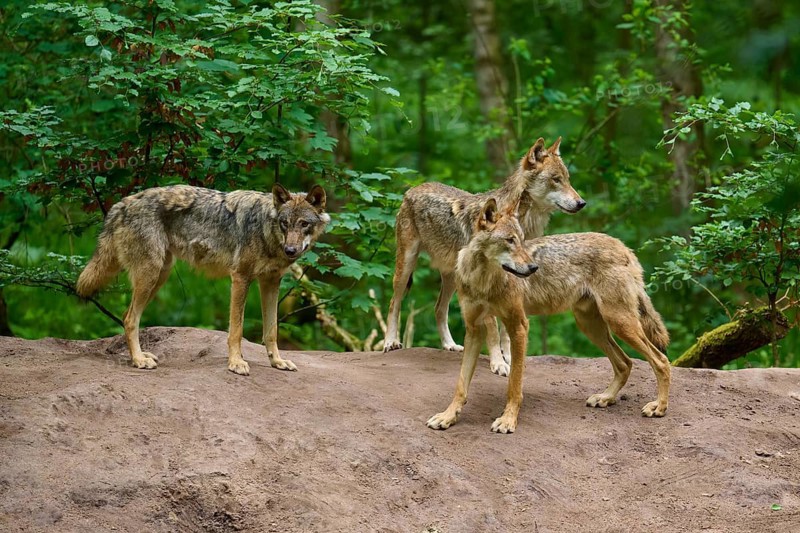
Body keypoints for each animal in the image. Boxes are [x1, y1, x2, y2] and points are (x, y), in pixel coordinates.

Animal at [76, 183, 330, 376]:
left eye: (304, 224)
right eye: (285, 223)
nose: (290, 250)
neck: (266, 230)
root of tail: (122, 203)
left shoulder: (270, 283)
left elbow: (272, 330)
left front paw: (277, 362)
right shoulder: (240, 278)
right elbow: (236, 330)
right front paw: (236, 363)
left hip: (159, 276)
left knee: (126, 316)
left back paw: (142, 355)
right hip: (150, 275)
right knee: (129, 318)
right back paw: (139, 360)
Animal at [383, 137, 585, 376]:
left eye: (567, 179)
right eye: (556, 179)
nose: (582, 203)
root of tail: (413, 188)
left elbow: (506, 330)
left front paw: (510, 358)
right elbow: (493, 329)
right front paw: (498, 363)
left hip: (452, 279)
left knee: (439, 308)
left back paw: (449, 345)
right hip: (406, 267)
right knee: (394, 302)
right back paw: (390, 342)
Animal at [426, 196, 671, 433]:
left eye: (521, 240)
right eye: (509, 240)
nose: (534, 268)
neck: (483, 281)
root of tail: (623, 246)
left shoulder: (519, 326)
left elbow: (514, 384)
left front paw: (508, 420)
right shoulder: (474, 330)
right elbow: (461, 384)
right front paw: (447, 417)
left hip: (619, 324)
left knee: (661, 360)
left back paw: (658, 407)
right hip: (591, 326)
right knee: (625, 363)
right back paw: (606, 398)